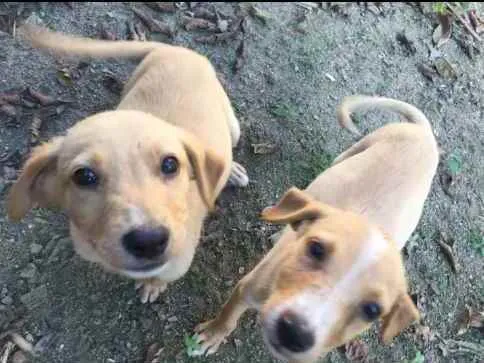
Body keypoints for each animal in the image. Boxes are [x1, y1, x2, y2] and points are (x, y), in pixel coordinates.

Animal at [6, 24, 250, 304]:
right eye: (84, 176)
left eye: (170, 164)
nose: (148, 241)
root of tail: (175, 49)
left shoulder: (177, 262)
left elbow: (160, 277)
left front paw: (153, 285)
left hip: (232, 125)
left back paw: (232, 171)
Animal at [193, 95, 438, 362]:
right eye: (316, 249)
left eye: (372, 310)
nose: (295, 333)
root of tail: (425, 133)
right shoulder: (246, 288)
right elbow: (228, 316)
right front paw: (213, 333)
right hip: (352, 152)